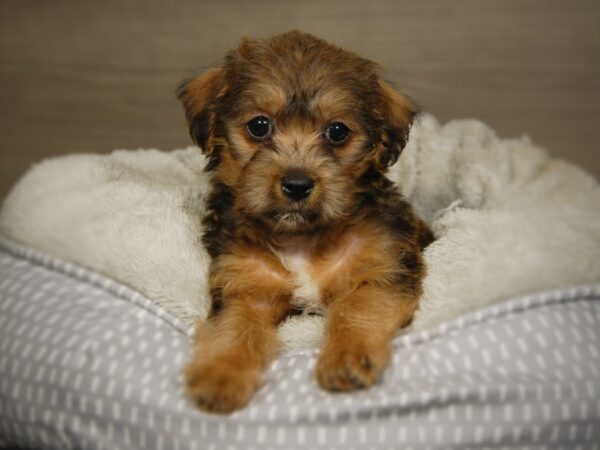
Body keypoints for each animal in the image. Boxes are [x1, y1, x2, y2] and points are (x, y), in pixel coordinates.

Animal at [176, 29, 434, 414]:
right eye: (259, 125)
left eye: (337, 132)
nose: (297, 184)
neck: (300, 238)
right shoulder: (245, 289)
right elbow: (235, 329)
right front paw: (220, 375)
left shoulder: (383, 271)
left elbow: (357, 308)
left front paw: (346, 357)